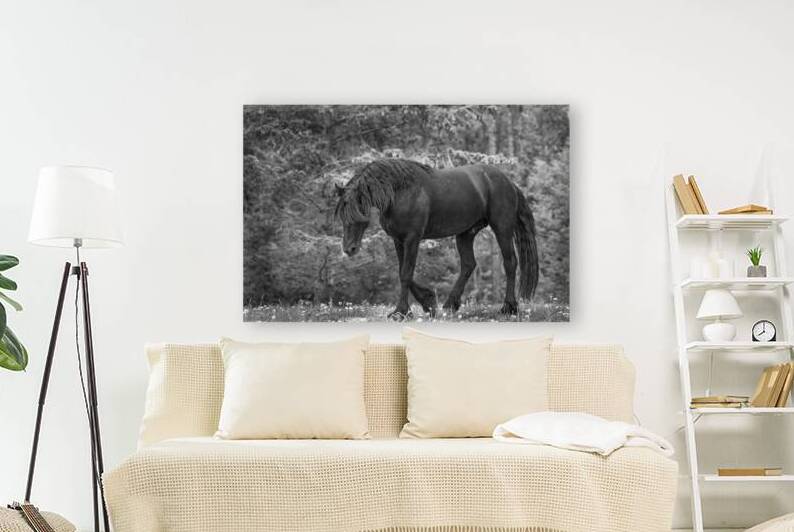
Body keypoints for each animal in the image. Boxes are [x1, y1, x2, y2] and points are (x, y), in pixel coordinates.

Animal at [335, 158, 538, 320]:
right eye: (342, 216)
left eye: (359, 215)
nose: (349, 249)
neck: (401, 192)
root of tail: (509, 183)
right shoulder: (398, 240)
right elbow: (403, 271)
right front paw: (428, 302)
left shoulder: (412, 238)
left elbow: (406, 273)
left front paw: (402, 312)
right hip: (466, 233)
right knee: (468, 265)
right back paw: (450, 305)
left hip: (502, 228)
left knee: (510, 262)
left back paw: (509, 307)